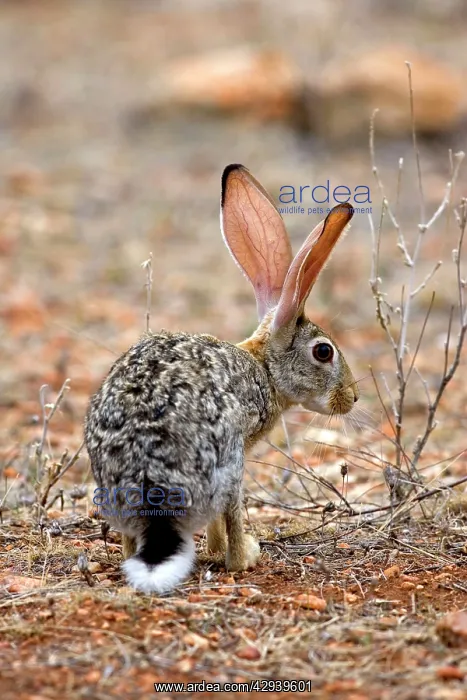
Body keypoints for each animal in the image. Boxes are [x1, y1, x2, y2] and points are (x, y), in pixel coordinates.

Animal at [84, 164, 359, 594]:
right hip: (228, 467)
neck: (264, 367)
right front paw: (222, 549)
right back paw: (247, 555)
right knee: (230, 522)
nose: (351, 397)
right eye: (323, 352)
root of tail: (151, 484)